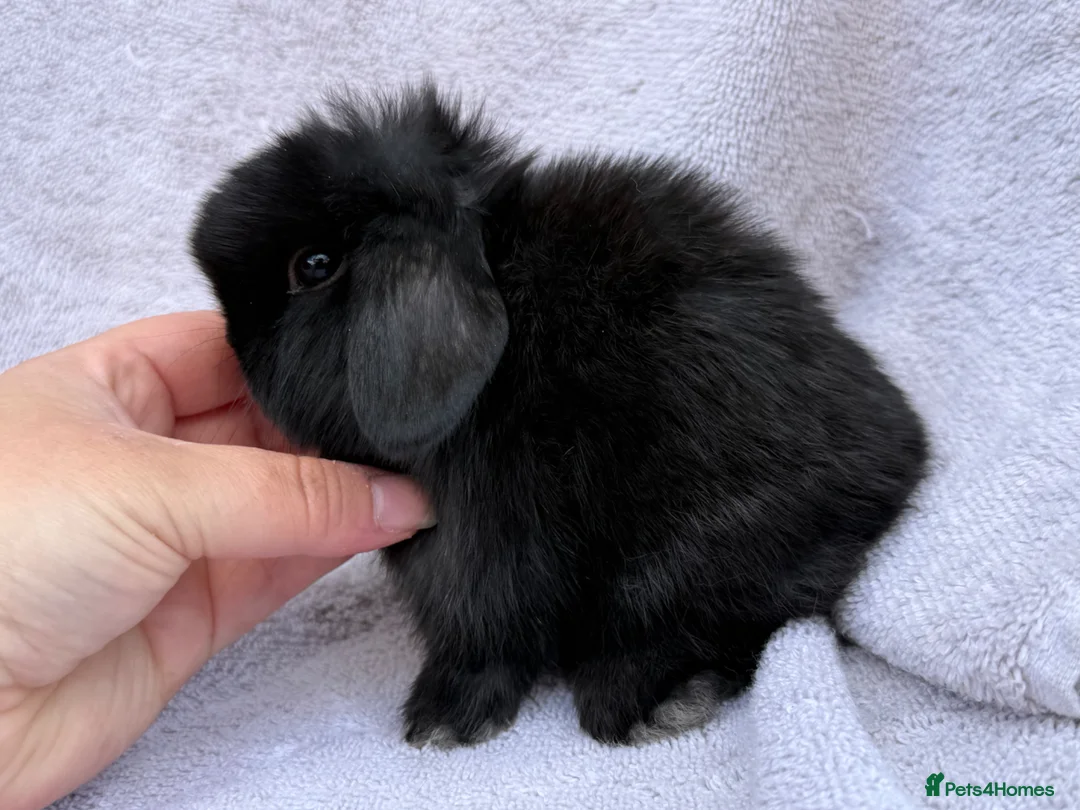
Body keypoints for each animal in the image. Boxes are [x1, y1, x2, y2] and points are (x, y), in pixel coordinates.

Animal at [189, 83, 929, 748]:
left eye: (313, 265)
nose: (230, 348)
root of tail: (903, 457)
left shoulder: (483, 546)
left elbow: (483, 632)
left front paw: (442, 720)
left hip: (684, 556)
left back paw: (650, 701)